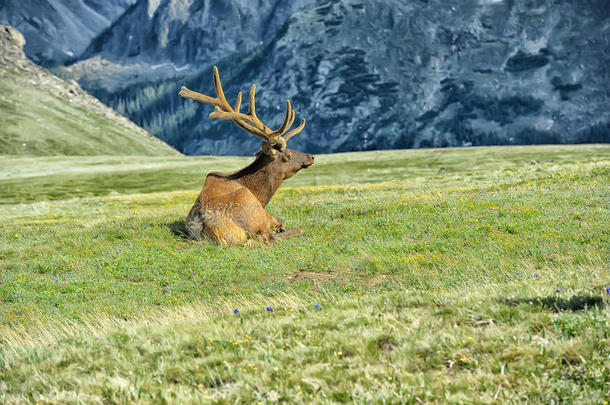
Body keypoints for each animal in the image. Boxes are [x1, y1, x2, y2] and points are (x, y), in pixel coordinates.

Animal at [178, 66, 314, 245]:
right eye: (288, 154)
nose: (311, 156)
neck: (261, 195)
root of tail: (205, 223)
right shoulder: (264, 211)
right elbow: (279, 220)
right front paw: (282, 227)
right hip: (252, 210)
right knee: (270, 238)